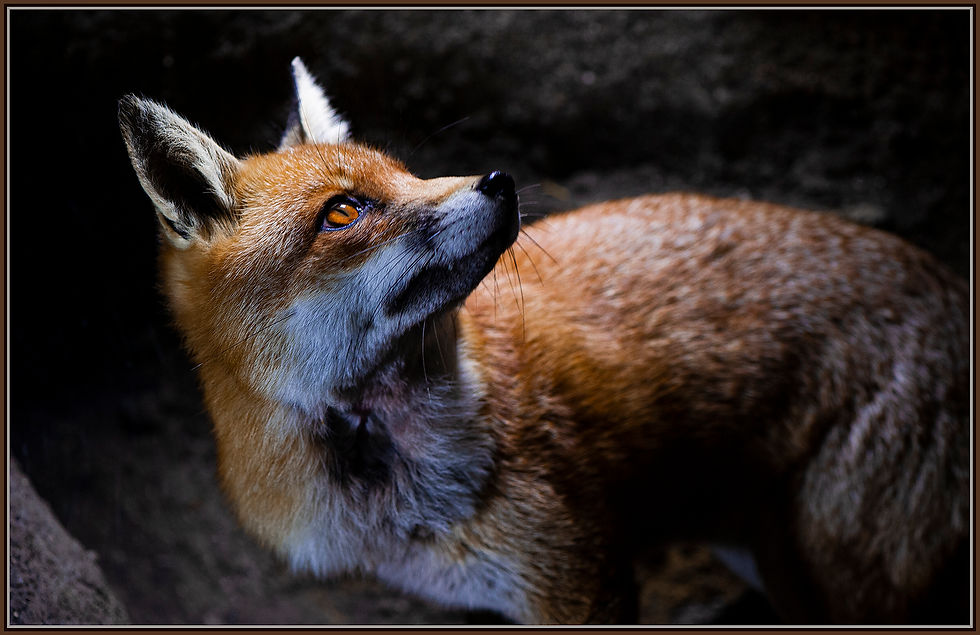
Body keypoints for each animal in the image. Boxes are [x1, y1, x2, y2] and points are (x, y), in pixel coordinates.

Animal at [118, 58, 970, 625]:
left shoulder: (584, 580)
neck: (398, 497)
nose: (498, 180)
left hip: (837, 575)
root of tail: (948, 281)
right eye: (344, 211)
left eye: (407, 172)